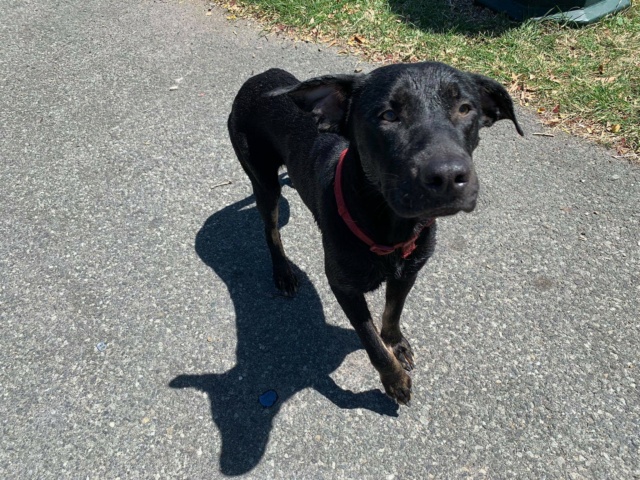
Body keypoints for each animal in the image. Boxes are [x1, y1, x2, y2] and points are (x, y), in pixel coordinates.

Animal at [228, 62, 524, 404]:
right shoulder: (344, 286)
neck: (389, 225)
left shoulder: (408, 271)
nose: (448, 176)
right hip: (263, 180)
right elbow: (371, 342)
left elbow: (392, 312)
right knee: (271, 230)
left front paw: (395, 343)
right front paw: (394, 380)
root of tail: (260, 77)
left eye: (465, 108)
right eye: (388, 115)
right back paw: (283, 272)